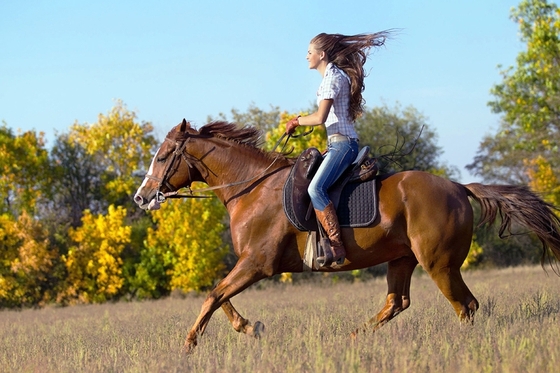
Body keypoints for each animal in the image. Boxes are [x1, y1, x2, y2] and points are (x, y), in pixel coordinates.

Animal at [135, 120, 560, 352]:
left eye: (163, 156)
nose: (142, 197)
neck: (251, 187)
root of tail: (458, 186)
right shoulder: (249, 264)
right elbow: (218, 295)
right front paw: (249, 328)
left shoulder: (257, 263)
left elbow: (213, 296)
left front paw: (189, 345)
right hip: (402, 259)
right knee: (397, 302)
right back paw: (354, 336)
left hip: (439, 264)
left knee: (465, 306)